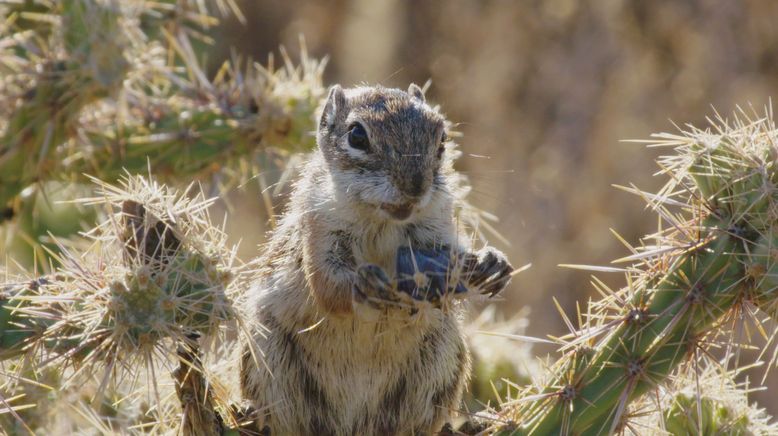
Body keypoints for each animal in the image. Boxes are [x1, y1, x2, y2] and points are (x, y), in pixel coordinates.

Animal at [239, 83, 512, 434]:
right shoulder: (319, 229)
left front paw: (490, 262)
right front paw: (367, 285)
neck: (382, 221)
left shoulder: (437, 227)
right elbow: (327, 285)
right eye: (356, 135)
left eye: (442, 137)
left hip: (440, 357)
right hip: (268, 353)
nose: (414, 186)